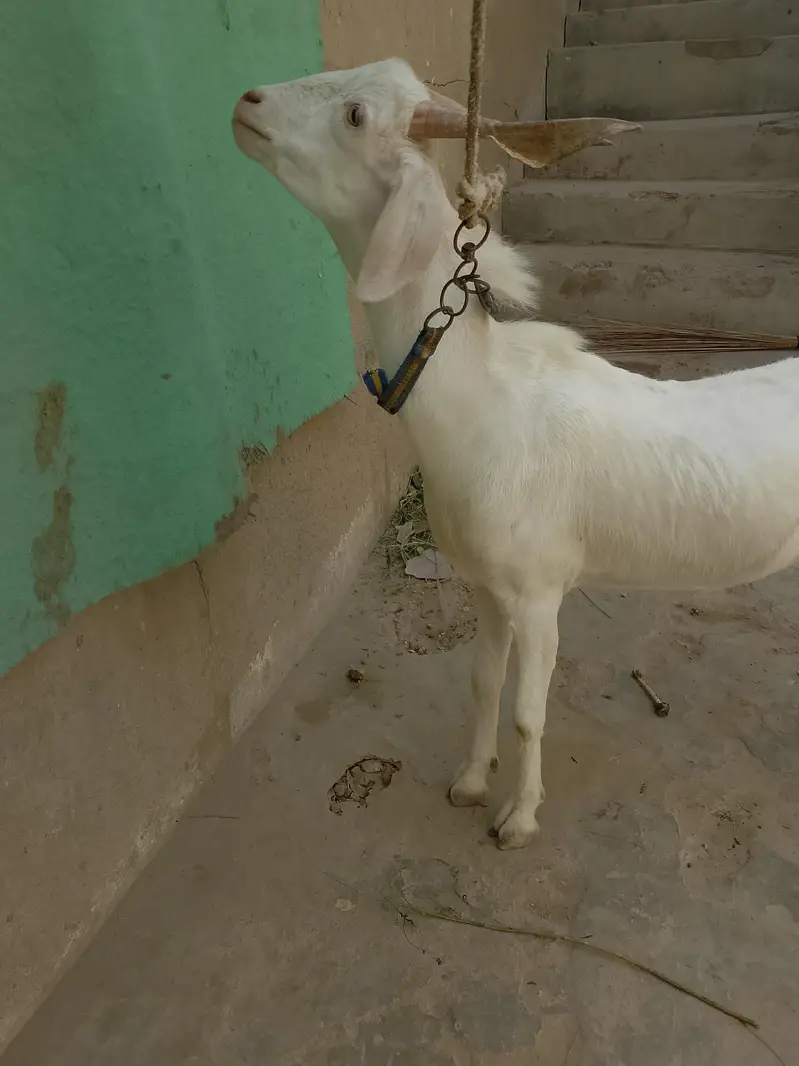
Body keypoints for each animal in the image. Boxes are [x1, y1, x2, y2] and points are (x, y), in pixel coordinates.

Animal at [232, 59, 799, 849]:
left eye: (355, 115)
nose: (246, 102)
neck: (485, 406)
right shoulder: (485, 586)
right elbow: (483, 684)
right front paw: (471, 783)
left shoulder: (538, 592)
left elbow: (530, 714)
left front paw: (519, 819)